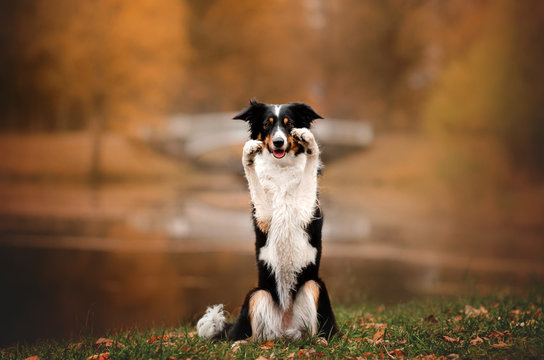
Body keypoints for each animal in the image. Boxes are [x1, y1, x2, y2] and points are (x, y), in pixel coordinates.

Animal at [198, 100, 338, 342]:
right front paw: (248, 153)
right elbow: (252, 178)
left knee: (312, 330)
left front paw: (309, 140)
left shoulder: (305, 210)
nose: (278, 142)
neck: (281, 169)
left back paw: (318, 340)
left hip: (313, 285)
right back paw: (240, 344)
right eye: (266, 124)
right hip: (258, 293)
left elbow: (310, 165)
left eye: (289, 124)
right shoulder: (264, 216)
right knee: (254, 338)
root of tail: (285, 330)